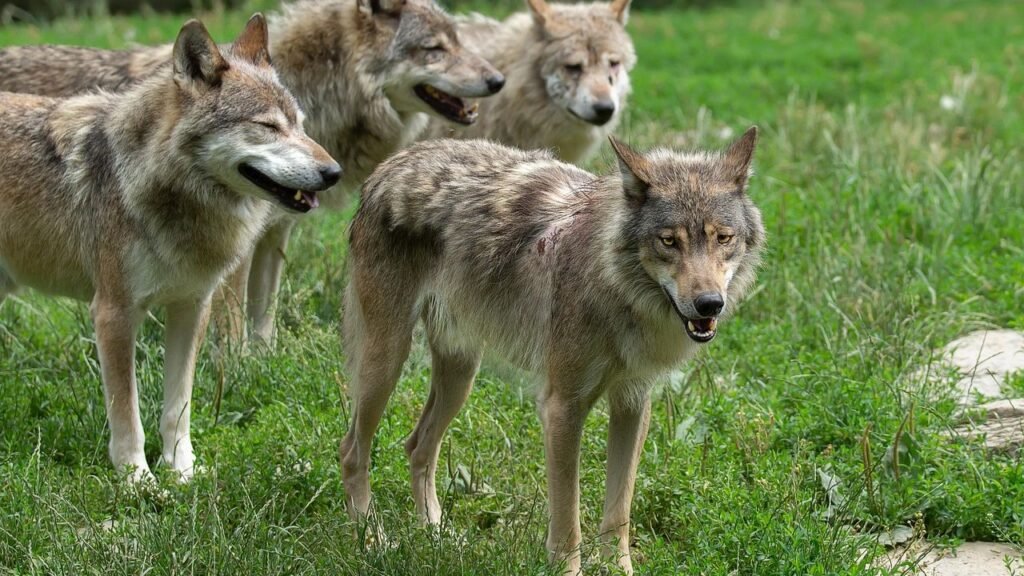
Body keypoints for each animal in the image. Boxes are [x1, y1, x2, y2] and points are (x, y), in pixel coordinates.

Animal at [0, 0, 505, 345]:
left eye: (458, 41)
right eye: (434, 50)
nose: (498, 80)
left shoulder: (273, 234)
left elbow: (264, 314)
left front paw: (263, 360)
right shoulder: (233, 250)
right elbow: (232, 324)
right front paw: (234, 368)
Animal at [0, 15, 339, 482]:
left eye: (301, 125)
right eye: (268, 126)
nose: (334, 172)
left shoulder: (192, 307)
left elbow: (177, 407)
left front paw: (182, 474)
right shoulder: (113, 313)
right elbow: (128, 414)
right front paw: (137, 481)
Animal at [340, 128, 764, 574]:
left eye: (723, 238)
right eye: (669, 241)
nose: (709, 304)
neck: (616, 289)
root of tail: (391, 164)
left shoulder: (632, 402)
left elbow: (618, 513)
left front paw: (619, 568)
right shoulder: (562, 408)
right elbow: (567, 521)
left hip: (461, 373)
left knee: (417, 446)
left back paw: (437, 535)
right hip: (387, 363)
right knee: (352, 451)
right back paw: (372, 541)